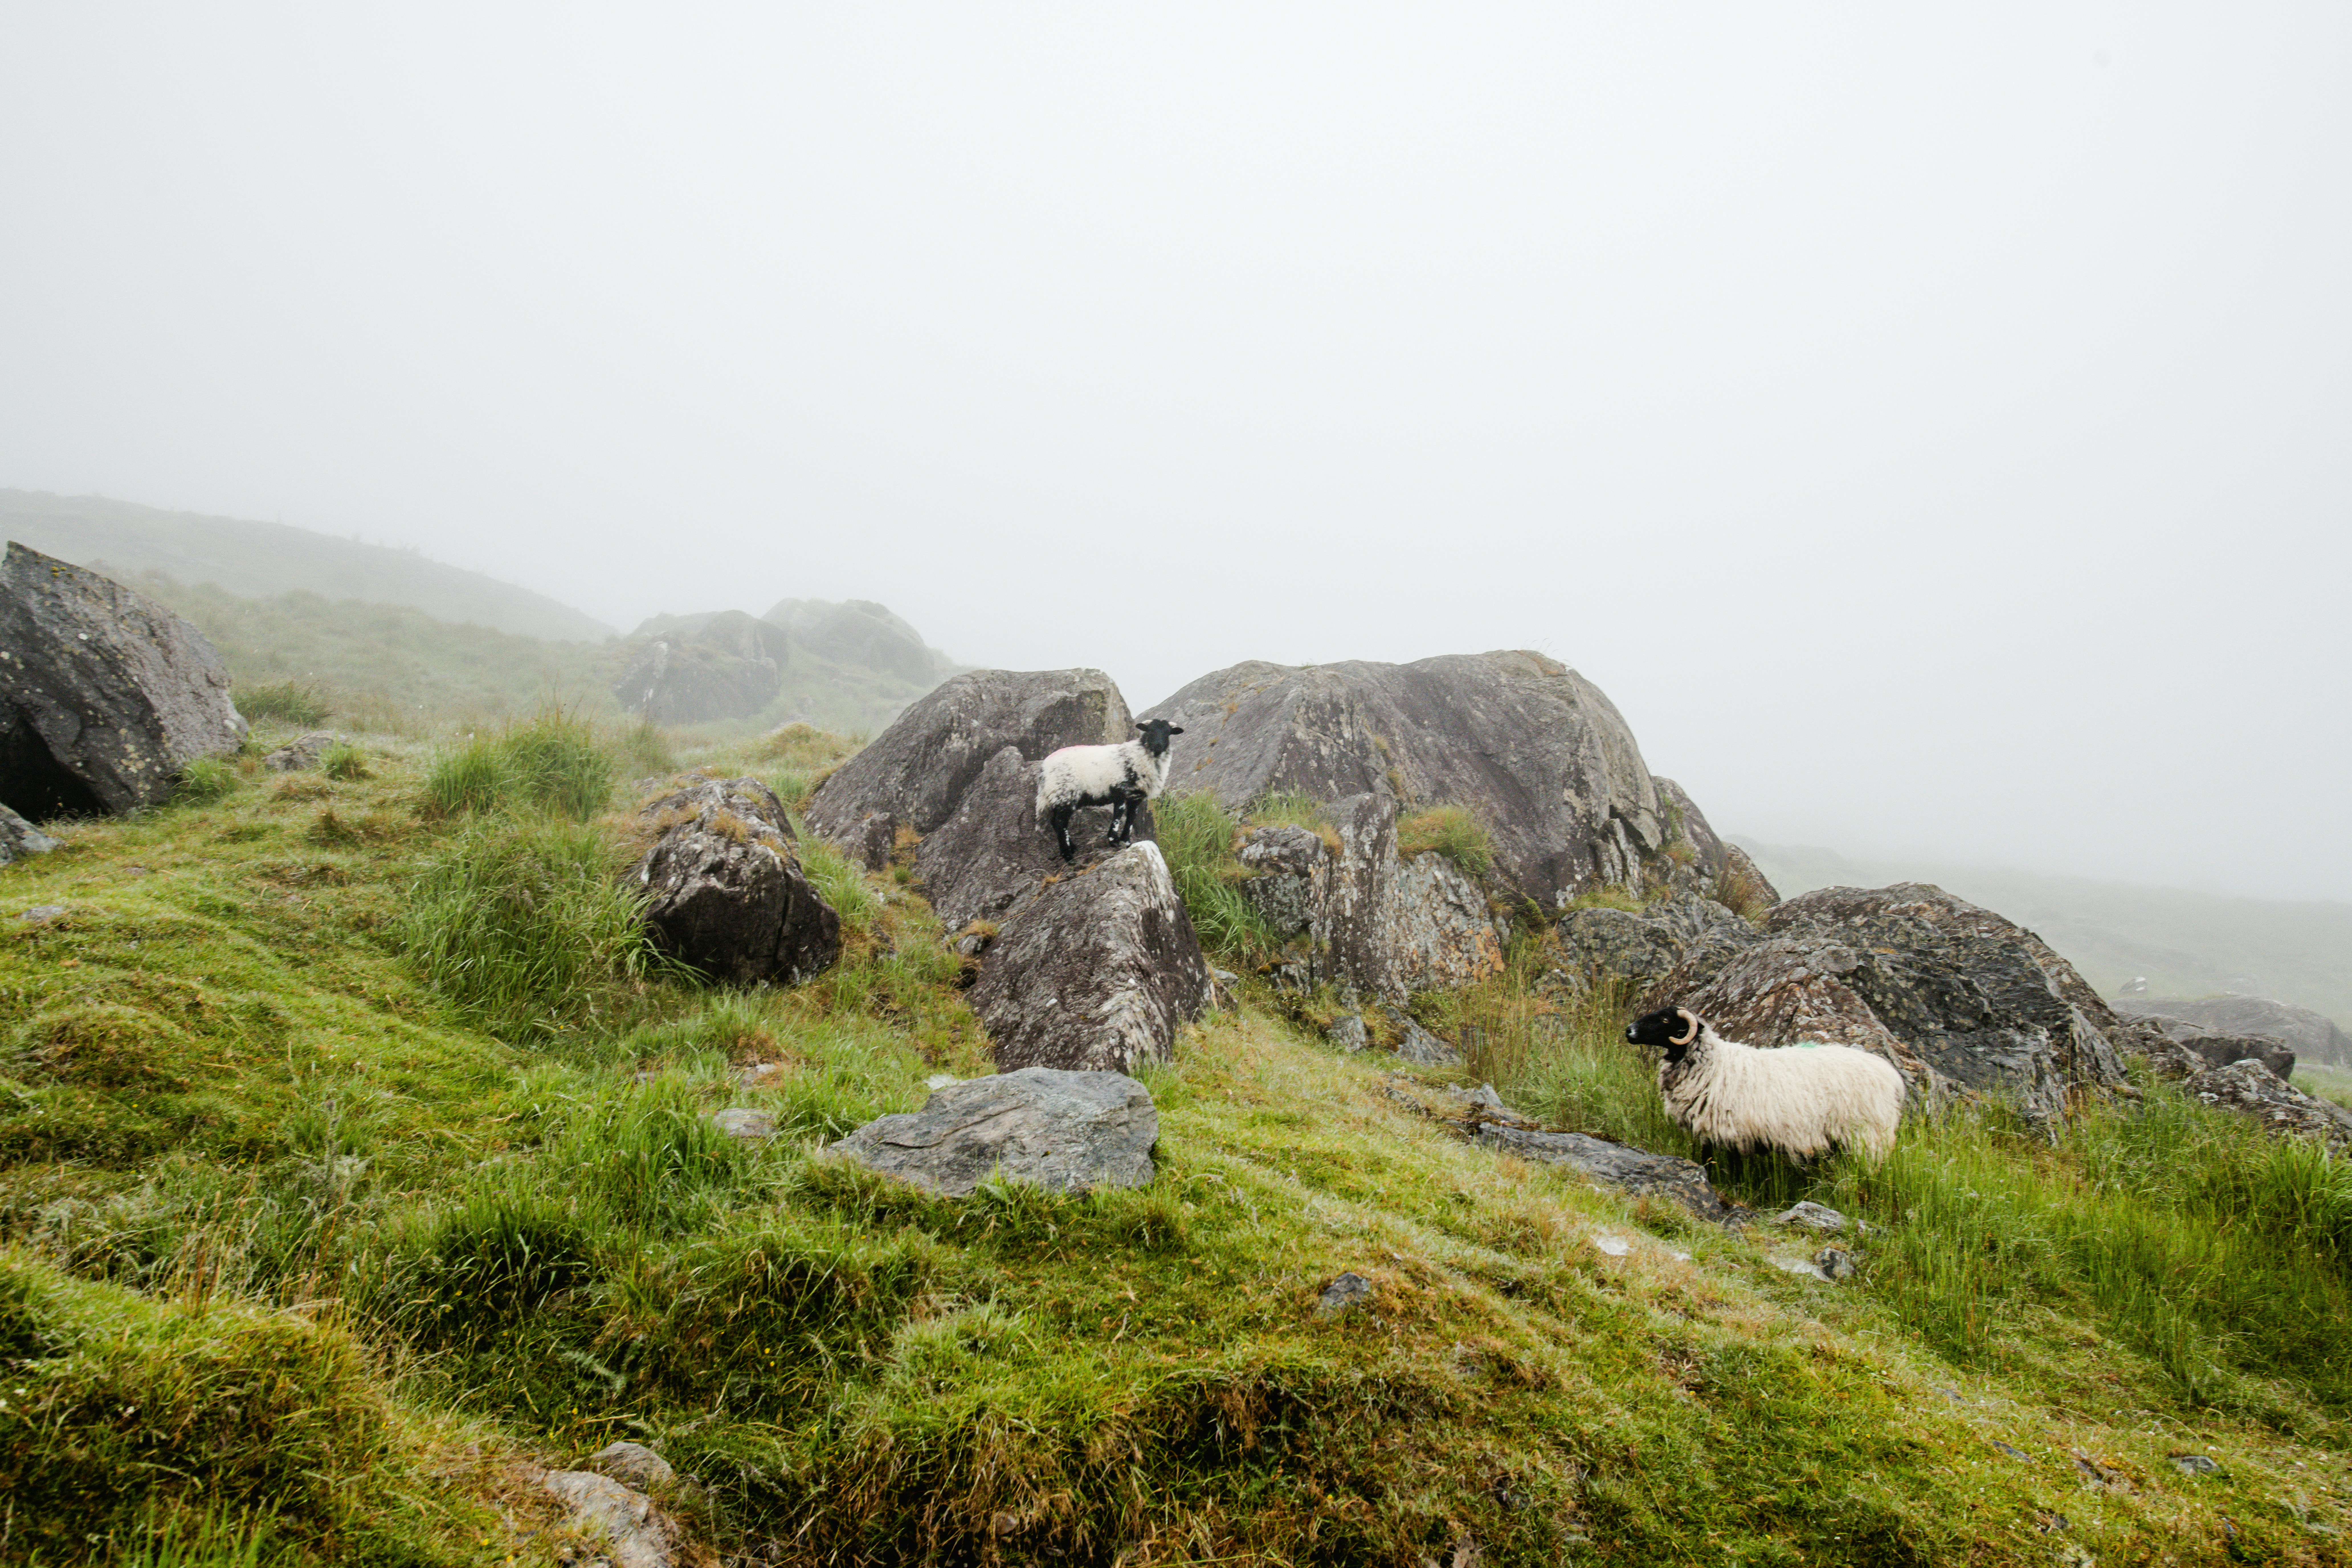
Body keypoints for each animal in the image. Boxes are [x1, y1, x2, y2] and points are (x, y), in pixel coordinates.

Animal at [1035, 718, 1185, 862]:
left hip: (1058, 797)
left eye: (1168, 733)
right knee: (1060, 824)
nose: (1158, 746)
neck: (1141, 756)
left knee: (1056, 823)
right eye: (1150, 730)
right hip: (1065, 793)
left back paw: (1071, 849)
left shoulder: (1136, 795)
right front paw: (1113, 840)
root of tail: (1044, 771)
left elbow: (1132, 817)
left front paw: (1126, 842)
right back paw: (1068, 857)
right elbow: (1119, 813)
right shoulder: (1120, 788)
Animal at [1624, 1006, 1905, 1163]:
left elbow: (1726, 1167)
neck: (1714, 1066)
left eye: (1665, 1021)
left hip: (1868, 1134)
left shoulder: (1731, 1132)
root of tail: (1892, 1077)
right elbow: (1710, 1161)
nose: (1629, 1031)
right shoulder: (1712, 1131)